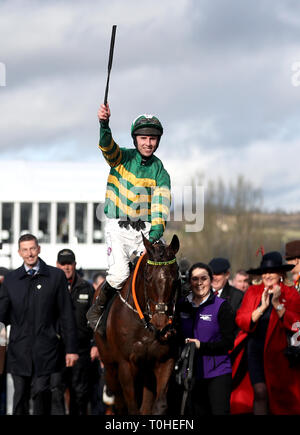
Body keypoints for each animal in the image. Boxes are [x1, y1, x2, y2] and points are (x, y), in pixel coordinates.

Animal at [95, 235, 179, 416]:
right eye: (147, 277)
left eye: (176, 278)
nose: (161, 324)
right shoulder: (125, 364)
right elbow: (131, 407)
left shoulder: (165, 360)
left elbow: (159, 405)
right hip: (110, 366)